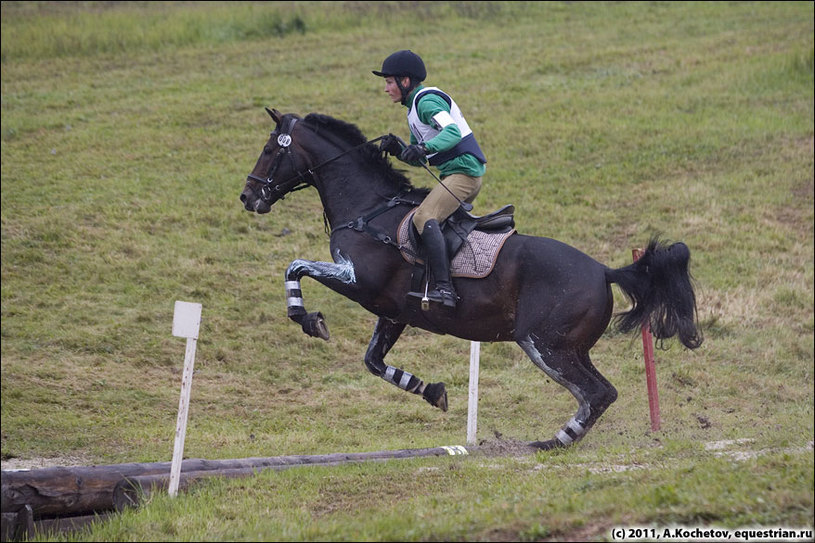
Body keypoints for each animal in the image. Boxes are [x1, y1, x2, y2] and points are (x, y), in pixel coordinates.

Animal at [239, 106, 704, 450]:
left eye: (269, 148)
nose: (247, 196)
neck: (369, 208)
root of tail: (604, 270)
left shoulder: (358, 281)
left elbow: (295, 266)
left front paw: (309, 319)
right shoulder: (392, 311)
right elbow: (374, 361)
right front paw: (431, 390)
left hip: (544, 344)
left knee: (598, 393)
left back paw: (551, 442)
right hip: (570, 347)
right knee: (597, 392)